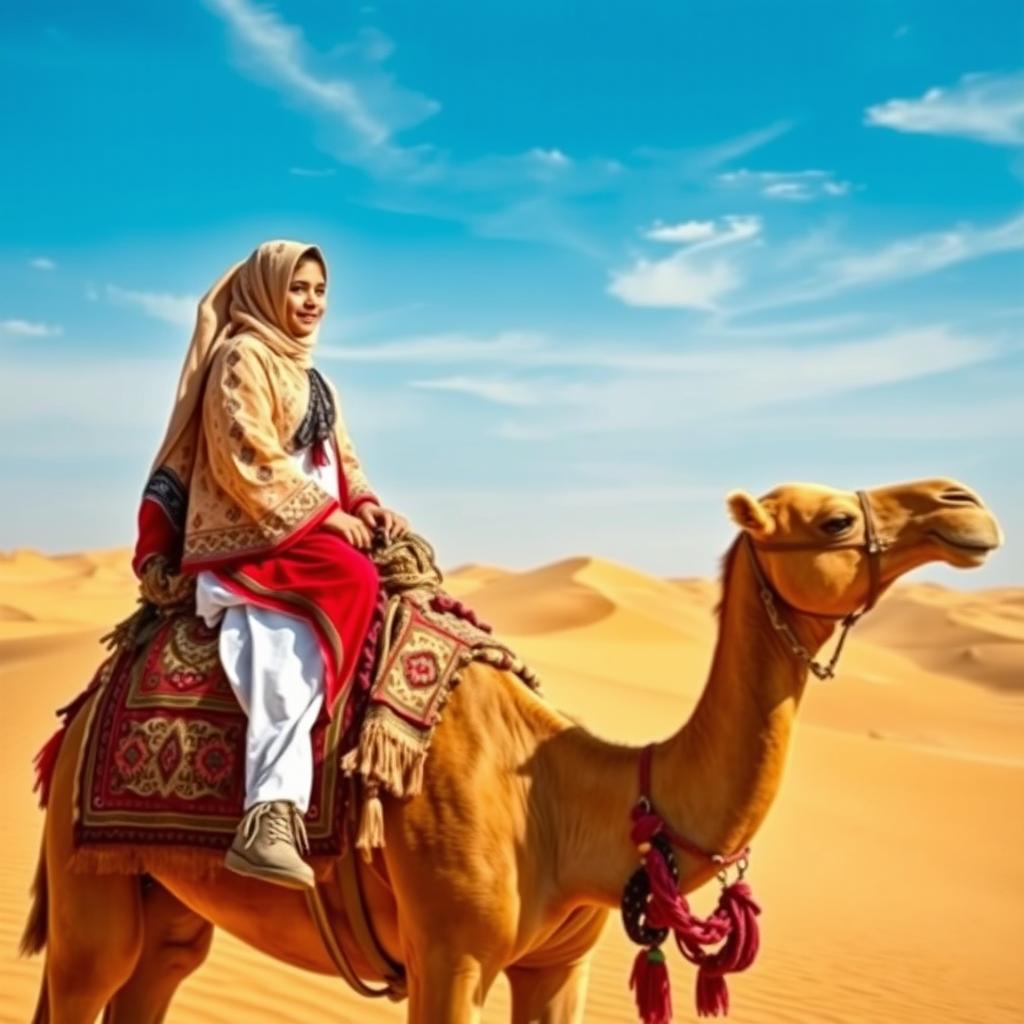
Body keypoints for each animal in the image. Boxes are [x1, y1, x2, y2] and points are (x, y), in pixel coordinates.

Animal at [19, 475, 1003, 1019]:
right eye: (835, 520)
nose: (966, 504)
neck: (568, 800)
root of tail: (82, 709)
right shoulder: (450, 958)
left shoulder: (558, 966)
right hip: (84, 890)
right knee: (82, 983)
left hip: (169, 906)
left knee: (156, 976)